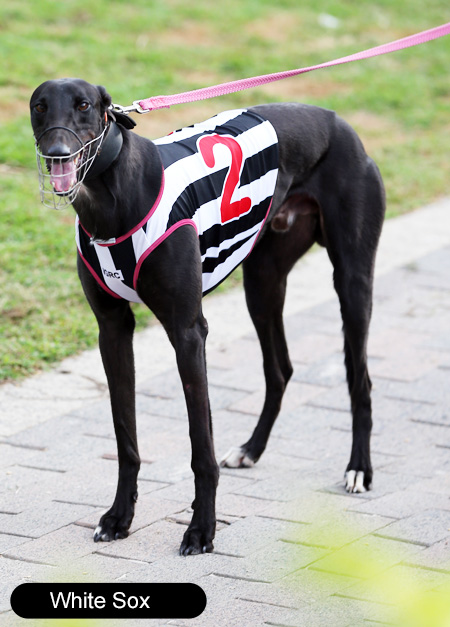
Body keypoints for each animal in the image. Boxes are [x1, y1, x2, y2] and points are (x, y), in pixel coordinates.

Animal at [30, 78, 385, 556]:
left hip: (352, 281)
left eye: (84, 105)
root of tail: (337, 121)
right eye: (39, 107)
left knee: (359, 378)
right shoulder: (113, 331)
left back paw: (359, 468)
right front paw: (120, 517)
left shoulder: (187, 332)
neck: (114, 196)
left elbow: (201, 448)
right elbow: (126, 437)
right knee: (280, 369)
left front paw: (201, 530)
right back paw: (251, 449)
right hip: (263, 283)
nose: (57, 152)